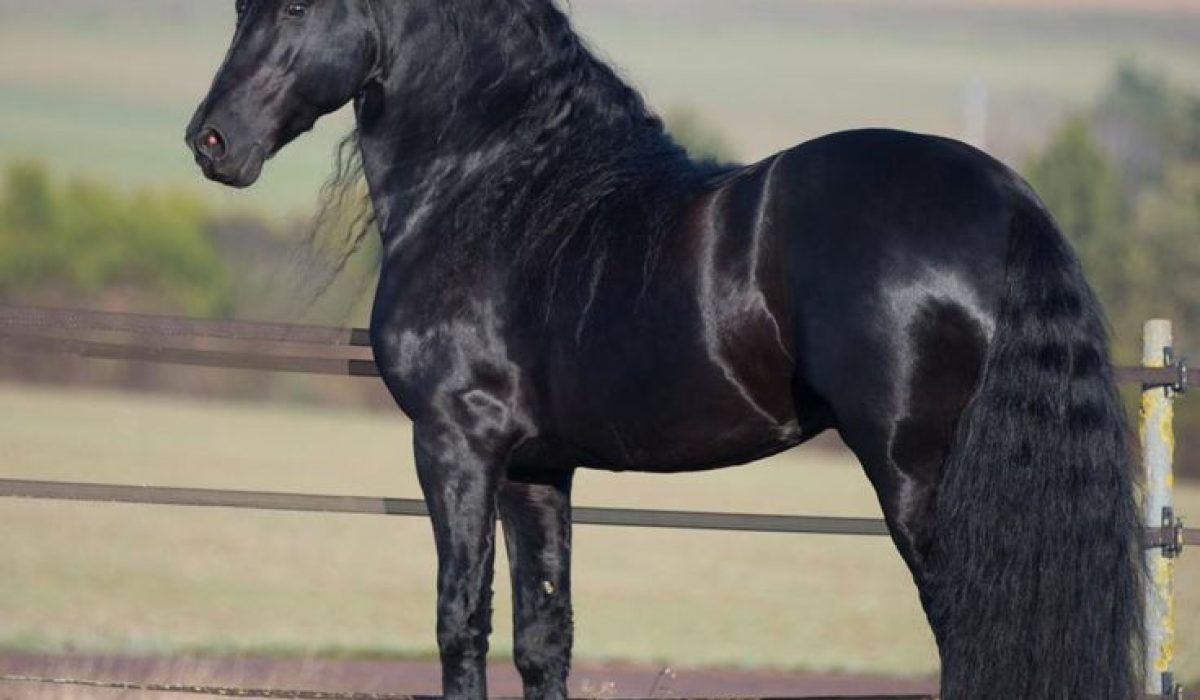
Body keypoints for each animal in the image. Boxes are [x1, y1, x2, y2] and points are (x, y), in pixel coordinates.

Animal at [185, 1, 1144, 698]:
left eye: (296, 4)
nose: (210, 141)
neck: (500, 187)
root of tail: (1007, 199)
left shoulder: (456, 445)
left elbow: (461, 623)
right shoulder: (537, 468)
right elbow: (544, 636)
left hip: (921, 483)